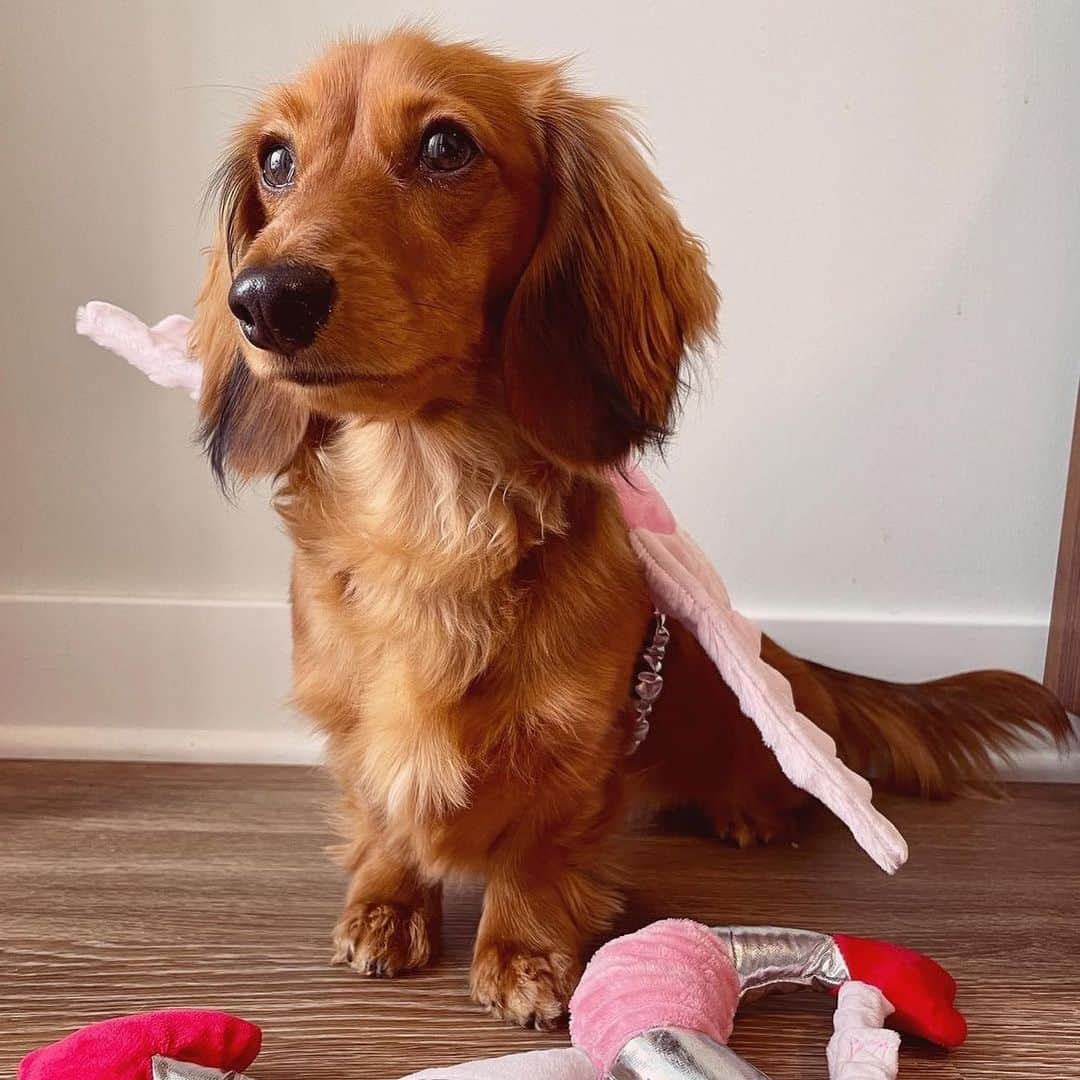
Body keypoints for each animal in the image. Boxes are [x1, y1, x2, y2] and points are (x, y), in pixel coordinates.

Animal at [196, 29, 1071, 1028]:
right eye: (276, 160)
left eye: (445, 146)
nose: (266, 298)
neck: (431, 516)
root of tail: (797, 662)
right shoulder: (349, 720)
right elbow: (382, 817)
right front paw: (384, 908)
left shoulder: (576, 742)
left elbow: (539, 853)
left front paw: (525, 956)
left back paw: (751, 812)